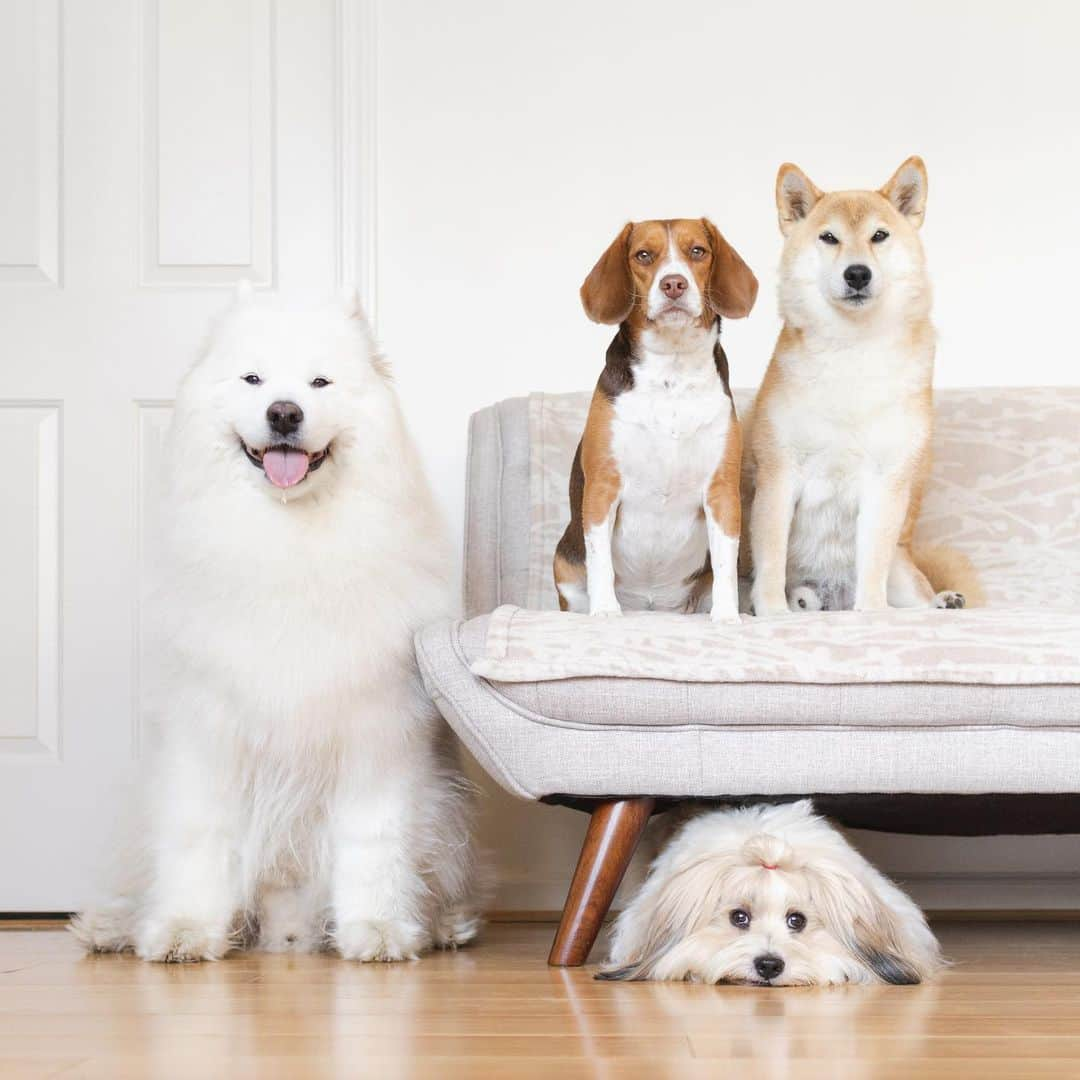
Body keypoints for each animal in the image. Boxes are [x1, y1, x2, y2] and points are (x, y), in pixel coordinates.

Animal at [73, 285, 479, 963]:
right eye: (253, 379)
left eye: (320, 381)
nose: (285, 413)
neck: (289, 544)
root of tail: (286, 928)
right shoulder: (209, 729)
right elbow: (198, 838)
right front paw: (185, 931)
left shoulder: (374, 733)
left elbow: (372, 844)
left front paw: (376, 930)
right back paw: (112, 927)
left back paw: (443, 926)